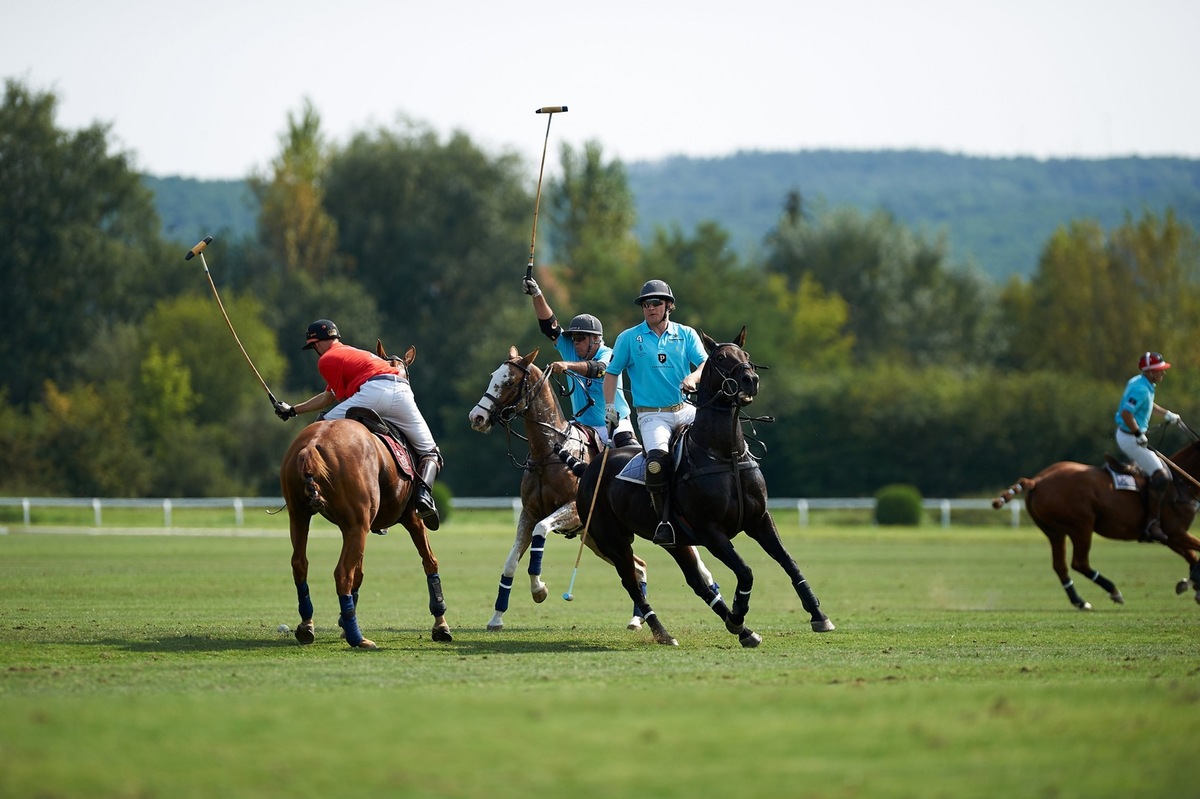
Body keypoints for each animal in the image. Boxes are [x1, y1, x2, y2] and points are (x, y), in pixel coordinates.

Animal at [467, 346, 718, 632]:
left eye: (509, 382)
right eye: (492, 377)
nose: (477, 417)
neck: (549, 453)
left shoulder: (573, 510)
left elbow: (541, 531)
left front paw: (539, 589)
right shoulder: (528, 513)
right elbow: (510, 562)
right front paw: (496, 617)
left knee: (686, 557)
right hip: (598, 540)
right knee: (639, 567)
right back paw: (637, 618)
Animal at [576, 327, 835, 647]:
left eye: (746, 354)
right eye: (720, 358)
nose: (750, 380)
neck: (724, 454)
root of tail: (589, 468)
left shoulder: (759, 519)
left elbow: (788, 561)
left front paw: (818, 615)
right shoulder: (711, 531)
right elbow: (746, 571)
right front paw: (738, 613)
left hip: (676, 542)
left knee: (697, 582)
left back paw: (743, 631)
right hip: (613, 540)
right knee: (632, 583)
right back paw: (666, 632)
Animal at [992, 440, 1200, 609]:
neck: (1182, 484)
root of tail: (1037, 480)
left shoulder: (1171, 537)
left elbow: (1192, 557)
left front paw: (1192, 584)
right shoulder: (1175, 532)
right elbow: (1196, 552)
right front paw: (1191, 584)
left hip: (1054, 531)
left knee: (1060, 565)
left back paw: (1079, 601)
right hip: (1081, 525)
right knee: (1079, 563)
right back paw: (1113, 591)